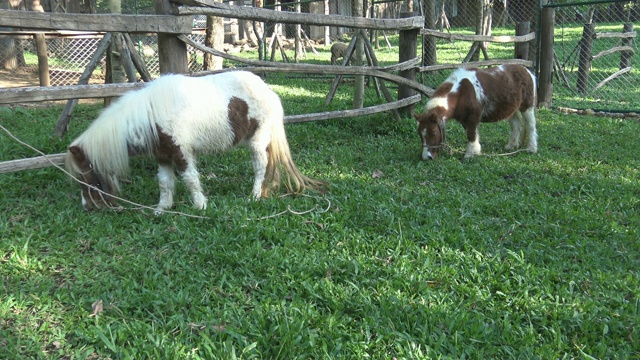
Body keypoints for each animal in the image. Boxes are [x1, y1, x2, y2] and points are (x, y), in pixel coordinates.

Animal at [66, 70, 324, 212]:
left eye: (85, 177)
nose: (87, 207)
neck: (150, 115)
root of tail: (268, 90)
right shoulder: (162, 155)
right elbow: (164, 183)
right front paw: (162, 209)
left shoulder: (181, 151)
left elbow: (190, 178)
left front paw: (200, 206)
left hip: (257, 140)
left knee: (261, 166)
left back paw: (255, 195)